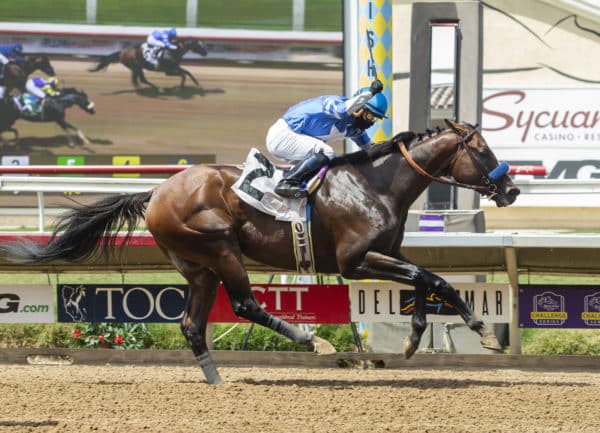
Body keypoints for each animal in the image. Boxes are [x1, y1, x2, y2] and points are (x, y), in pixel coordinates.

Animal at [0, 120, 516, 384]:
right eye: (483, 149)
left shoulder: (384, 257)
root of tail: (156, 191)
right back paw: (312, 340)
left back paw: (216, 381)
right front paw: (475, 332)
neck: (375, 186)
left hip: (198, 266)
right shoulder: (355, 262)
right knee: (246, 303)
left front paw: (430, 335)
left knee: (192, 324)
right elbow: (431, 279)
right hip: (221, 248)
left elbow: (429, 281)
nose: (510, 189)